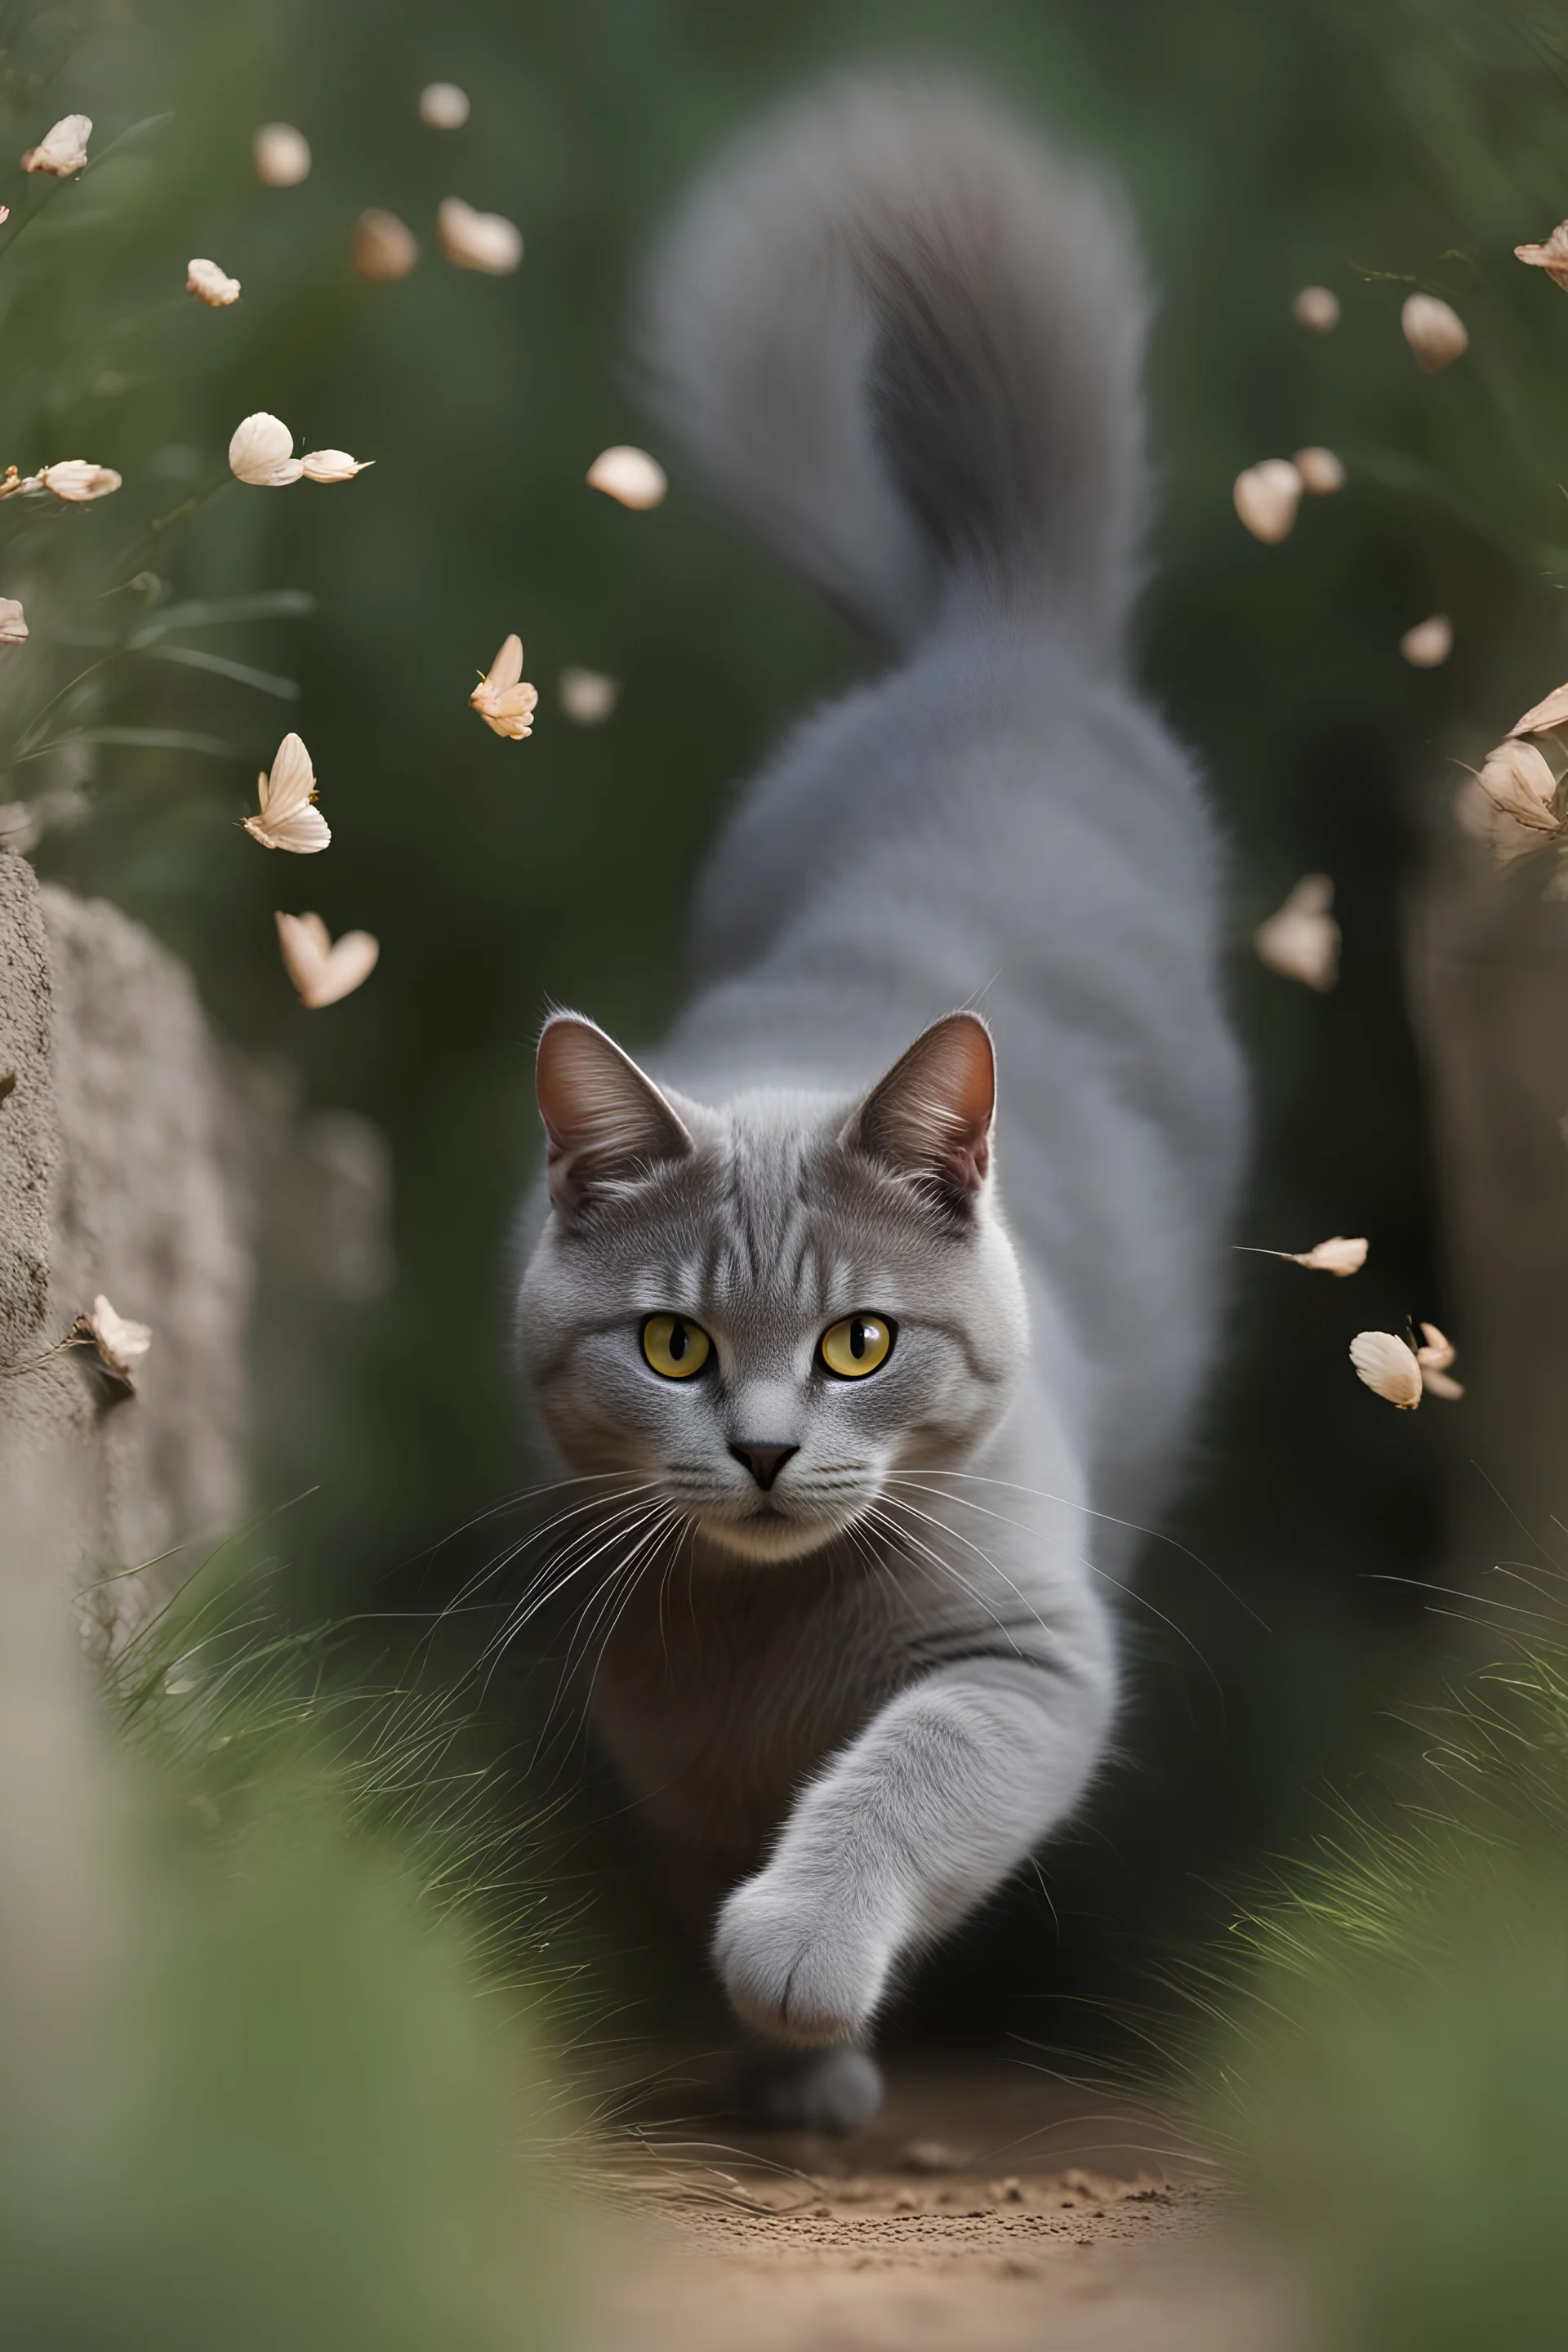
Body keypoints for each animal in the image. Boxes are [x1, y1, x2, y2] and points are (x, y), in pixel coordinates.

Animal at [514, 74, 1250, 2136]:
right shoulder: (662, 1745)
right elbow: (716, 1850)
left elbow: (905, 1781)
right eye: (673, 1344)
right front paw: (793, 2065)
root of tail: (991, 642)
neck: (772, 1645)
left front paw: (804, 1972)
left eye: (860, 1340)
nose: (766, 1450)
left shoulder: (1030, 1656)